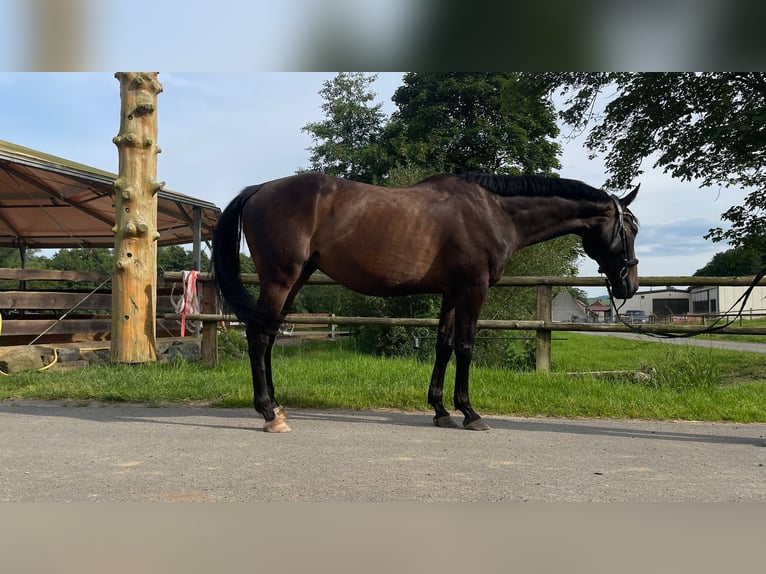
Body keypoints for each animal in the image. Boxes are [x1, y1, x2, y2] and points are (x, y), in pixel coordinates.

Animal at [212, 173, 640, 434]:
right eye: (630, 229)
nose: (629, 285)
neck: (493, 210)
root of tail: (259, 188)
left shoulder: (452, 292)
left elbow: (444, 346)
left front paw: (441, 410)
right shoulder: (474, 288)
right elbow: (466, 347)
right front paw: (470, 413)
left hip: (296, 278)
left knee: (269, 335)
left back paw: (277, 406)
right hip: (280, 279)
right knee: (259, 338)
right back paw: (269, 414)